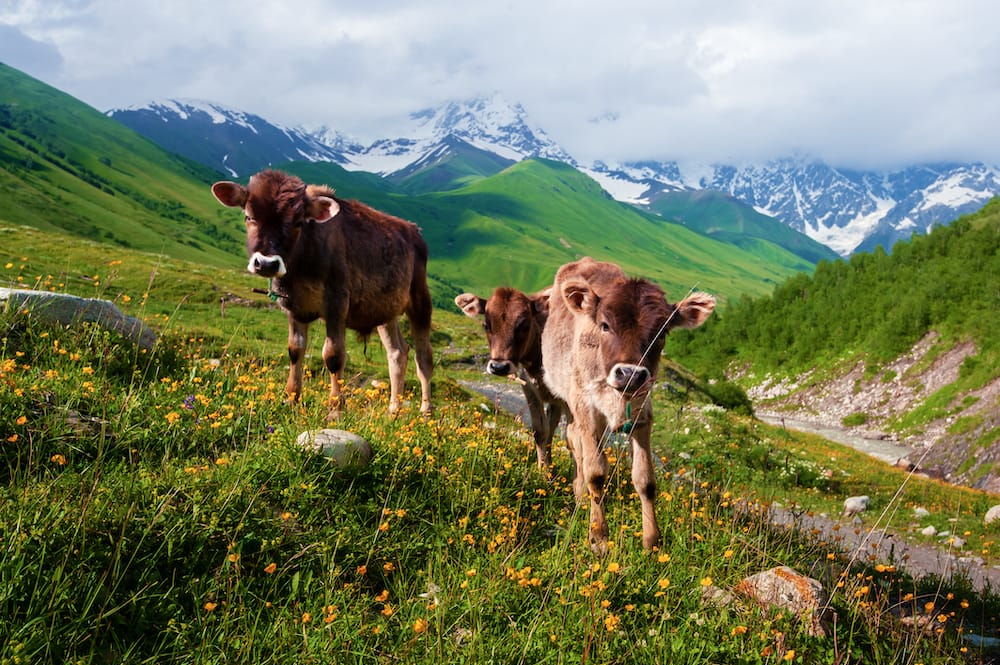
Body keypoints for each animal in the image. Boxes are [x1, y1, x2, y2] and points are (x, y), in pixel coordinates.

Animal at [211, 169, 434, 418]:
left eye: (298, 222)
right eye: (249, 217)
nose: (267, 264)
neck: (300, 267)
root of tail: (414, 230)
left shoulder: (337, 302)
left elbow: (333, 355)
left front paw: (336, 408)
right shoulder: (293, 306)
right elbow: (295, 350)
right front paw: (291, 399)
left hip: (420, 300)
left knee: (423, 358)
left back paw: (426, 412)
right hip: (384, 310)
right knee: (397, 353)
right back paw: (393, 410)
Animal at [456, 286, 564, 466]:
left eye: (525, 325)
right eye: (486, 325)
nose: (499, 367)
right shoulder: (529, 387)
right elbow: (541, 431)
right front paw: (544, 469)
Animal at [544, 256, 716, 552]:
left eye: (662, 332)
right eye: (604, 325)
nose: (631, 374)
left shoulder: (643, 413)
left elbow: (645, 479)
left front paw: (652, 542)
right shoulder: (586, 408)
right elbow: (595, 472)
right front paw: (599, 537)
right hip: (569, 400)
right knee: (576, 444)